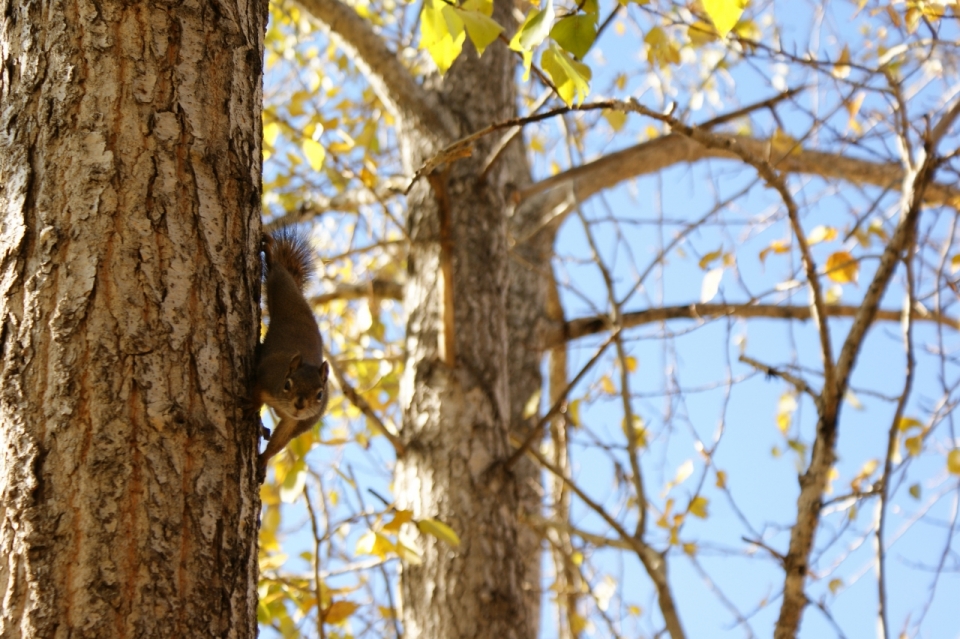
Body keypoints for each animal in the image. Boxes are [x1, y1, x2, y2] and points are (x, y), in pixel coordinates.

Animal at [255, 229, 330, 476]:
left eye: (320, 394)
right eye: (287, 384)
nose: (299, 404)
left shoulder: (298, 423)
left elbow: (280, 442)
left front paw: (263, 460)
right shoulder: (266, 377)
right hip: (282, 289)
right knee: (277, 271)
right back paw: (270, 253)